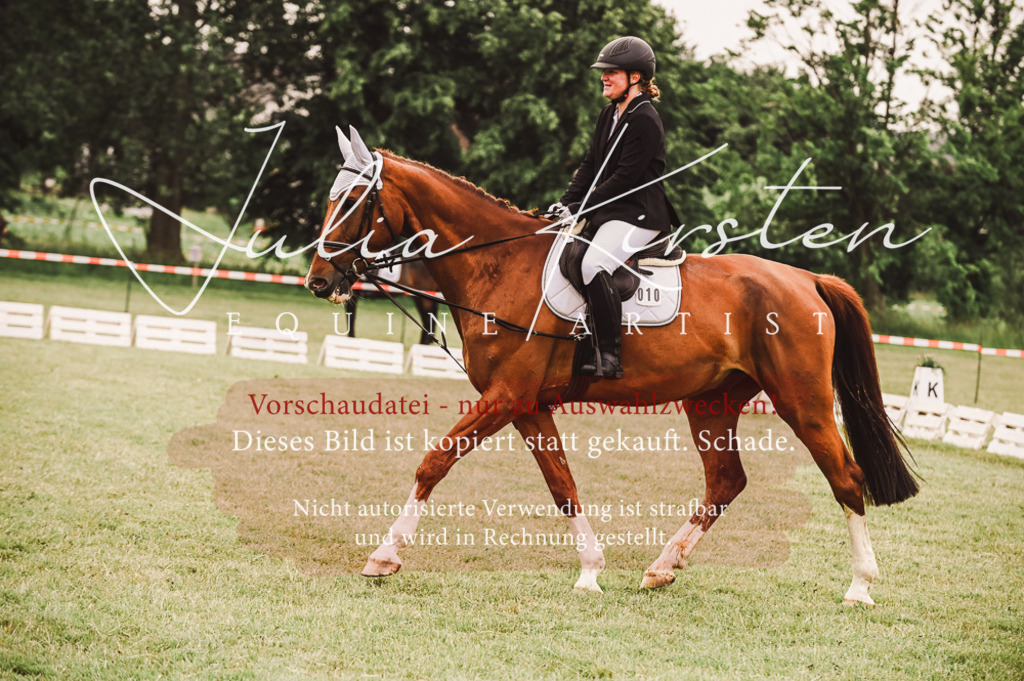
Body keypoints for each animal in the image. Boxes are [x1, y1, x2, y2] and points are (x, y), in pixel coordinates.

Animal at [305, 126, 918, 604]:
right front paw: (591, 571)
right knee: (726, 481)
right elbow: (563, 485)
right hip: (712, 402)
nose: (319, 279)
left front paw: (384, 556)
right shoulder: (526, 404)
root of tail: (808, 279)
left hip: (802, 400)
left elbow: (434, 462)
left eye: (354, 203)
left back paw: (860, 586)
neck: (499, 266)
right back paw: (662, 568)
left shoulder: (505, 396)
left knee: (846, 477)